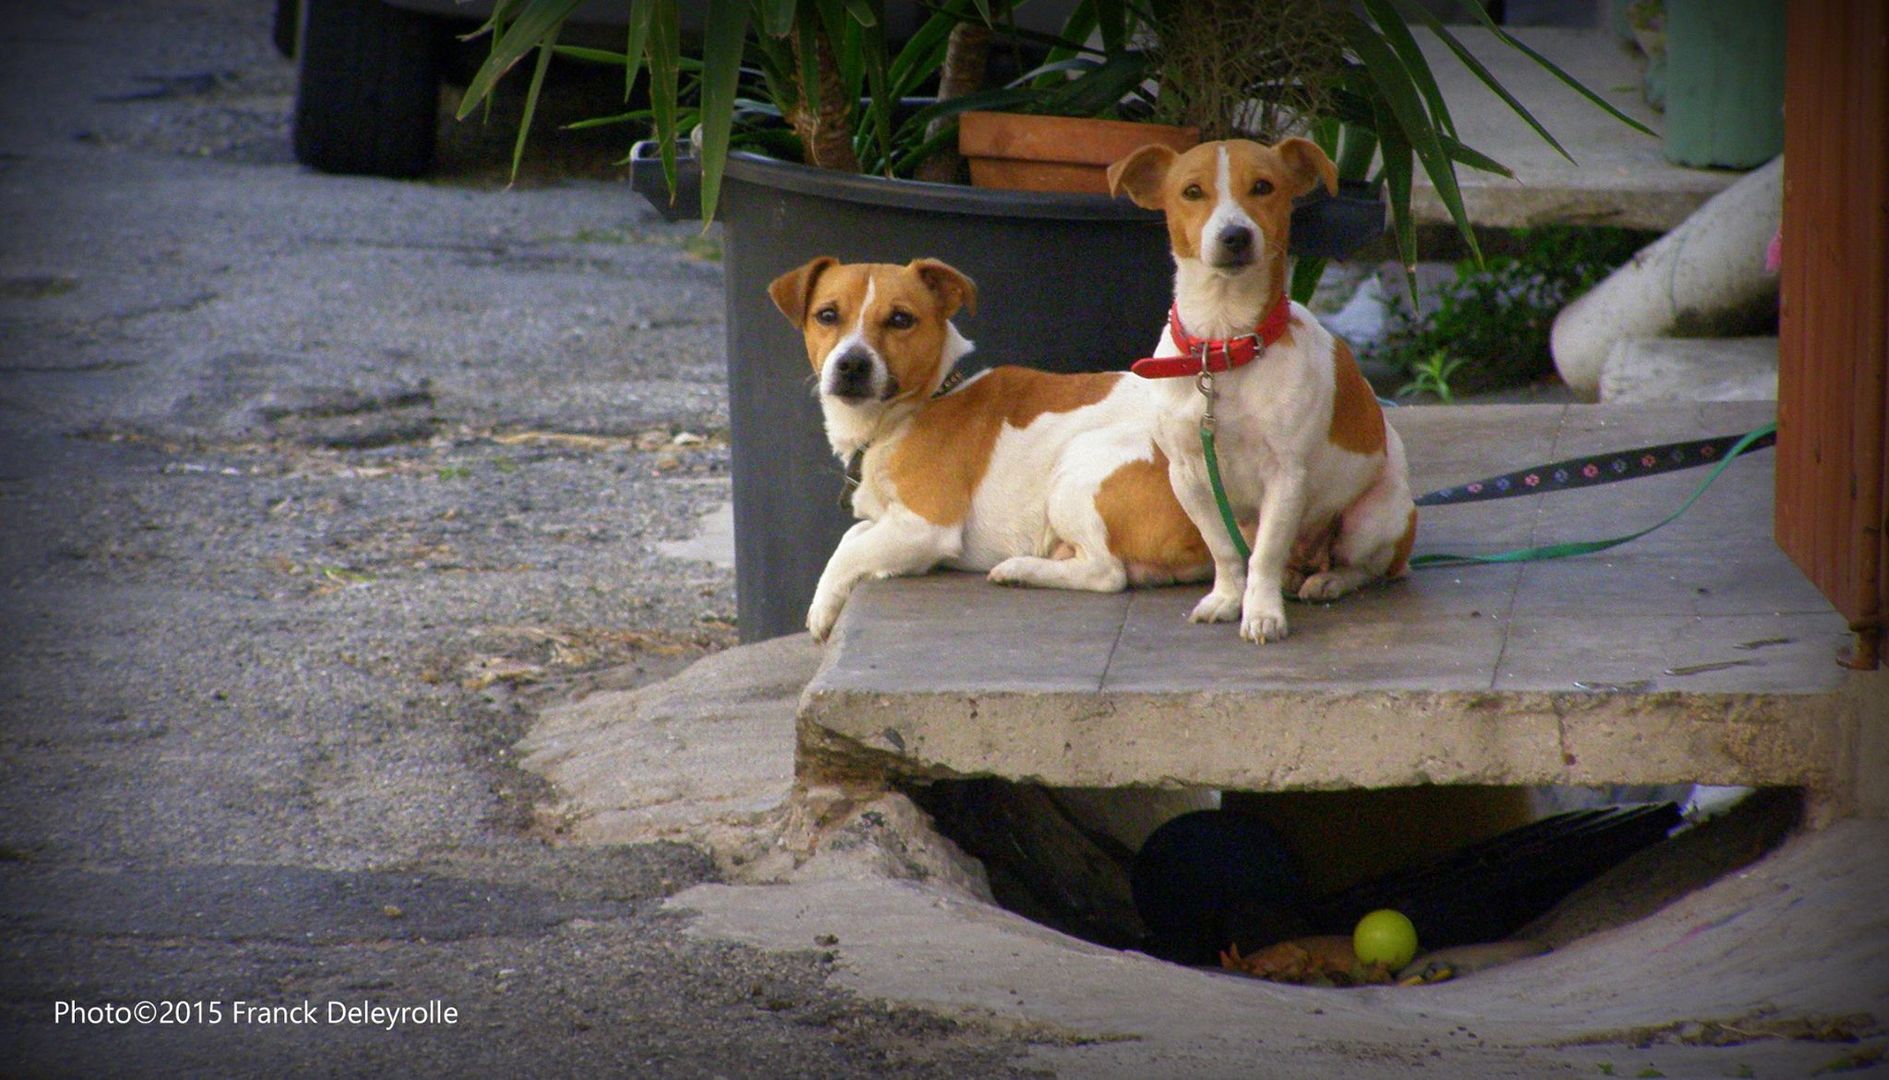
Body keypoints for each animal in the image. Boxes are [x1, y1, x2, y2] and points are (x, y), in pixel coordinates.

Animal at [766, 254, 1208, 641]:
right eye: (827, 315)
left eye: (900, 320)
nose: (852, 365)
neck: (921, 404)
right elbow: (853, 535)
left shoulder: (927, 526)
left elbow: (848, 552)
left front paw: (823, 607)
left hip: (1082, 463)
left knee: (1107, 573)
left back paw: (1020, 570)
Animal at [1103, 135, 1420, 641]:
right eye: (1192, 192)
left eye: (1263, 187)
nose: (1235, 235)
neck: (1224, 345)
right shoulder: (1188, 477)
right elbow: (1225, 551)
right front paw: (1228, 598)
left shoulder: (1286, 476)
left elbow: (1266, 555)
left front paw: (1262, 613)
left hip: (1375, 518)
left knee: (1367, 567)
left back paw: (1329, 580)